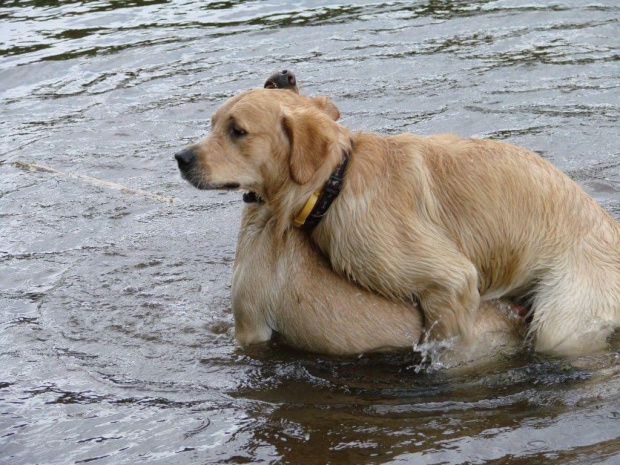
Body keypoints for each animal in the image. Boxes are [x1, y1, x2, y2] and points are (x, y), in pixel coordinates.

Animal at [176, 81, 620, 358]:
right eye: (213, 123)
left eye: (237, 130)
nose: (180, 157)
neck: (336, 180)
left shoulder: (451, 280)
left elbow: (451, 349)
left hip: (562, 319)